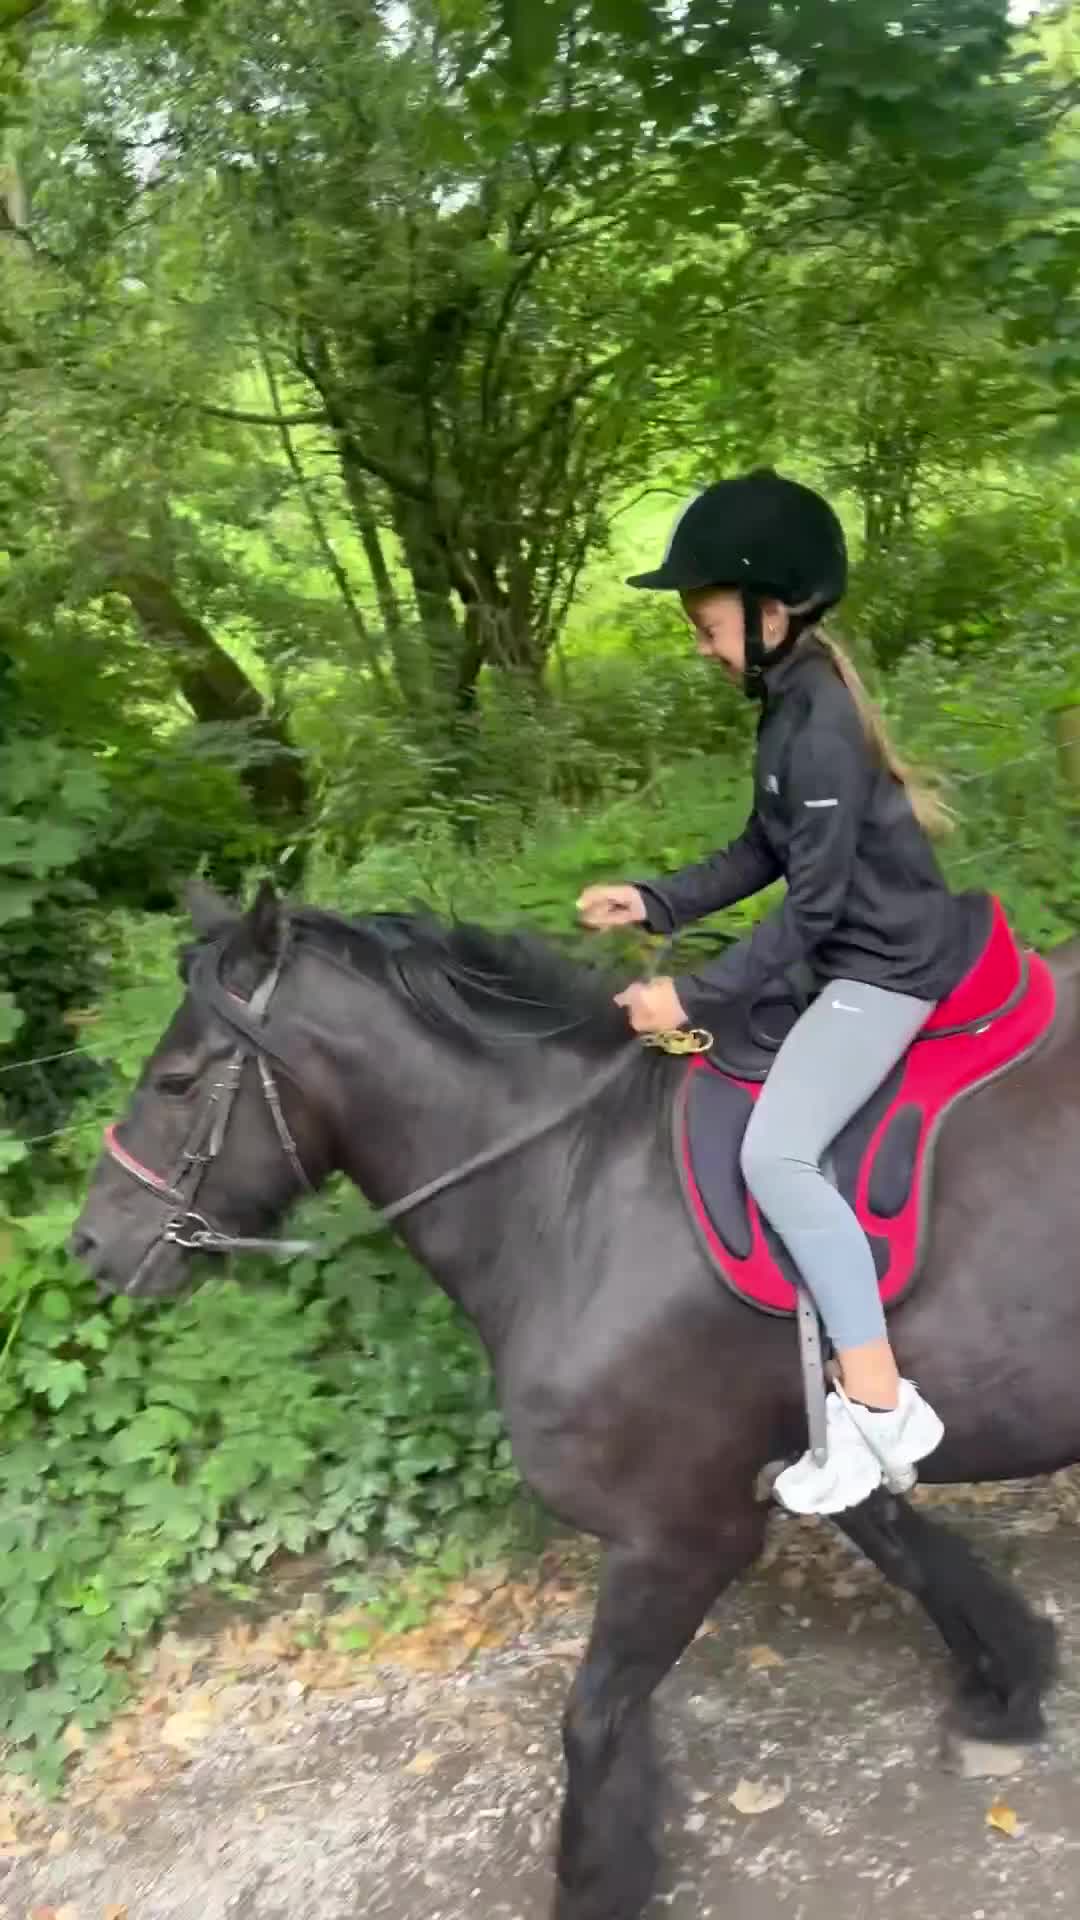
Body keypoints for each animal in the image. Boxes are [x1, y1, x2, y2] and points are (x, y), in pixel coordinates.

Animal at [71, 879, 1072, 1920]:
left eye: (177, 1081)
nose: (92, 1245)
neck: (577, 1191)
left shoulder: (680, 1534)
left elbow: (594, 1718)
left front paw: (596, 1882)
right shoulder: (798, 1445)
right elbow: (909, 1549)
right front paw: (1008, 1685)